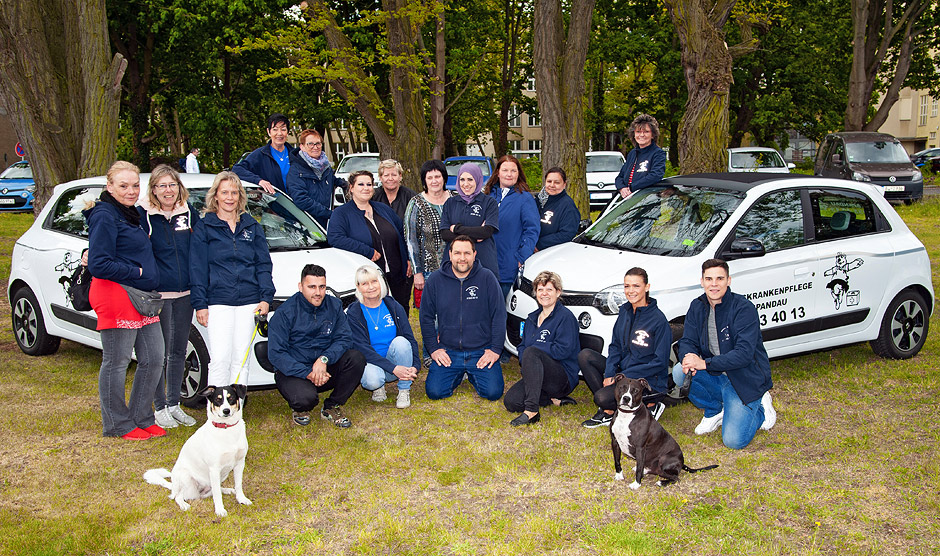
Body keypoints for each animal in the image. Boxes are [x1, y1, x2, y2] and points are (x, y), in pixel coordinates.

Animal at [143, 382, 250, 516]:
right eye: (217, 400)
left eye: (230, 398)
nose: (226, 411)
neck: (227, 429)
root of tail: (173, 486)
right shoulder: (214, 469)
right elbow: (217, 494)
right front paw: (220, 510)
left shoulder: (240, 463)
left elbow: (238, 485)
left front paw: (241, 499)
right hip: (187, 480)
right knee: (178, 496)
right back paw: (183, 504)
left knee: (213, 490)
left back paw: (226, 490)